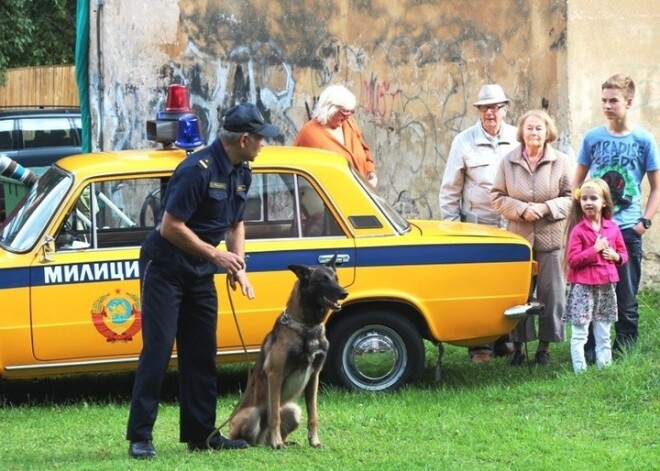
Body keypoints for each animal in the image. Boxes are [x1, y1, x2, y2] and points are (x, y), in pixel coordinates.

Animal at [228, 258, 348, 450]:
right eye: (322, 280)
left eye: (336, 278)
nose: (344, 293)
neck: (308, 326)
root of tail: (262, 441)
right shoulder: (275, 374)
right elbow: (274, 416)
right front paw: (277, 443)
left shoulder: (314, 376)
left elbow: (313, 415)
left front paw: (314, 441)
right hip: (252, 414)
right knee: (253, 435)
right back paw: (263, 442)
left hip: (293, 410)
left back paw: (285, 441)